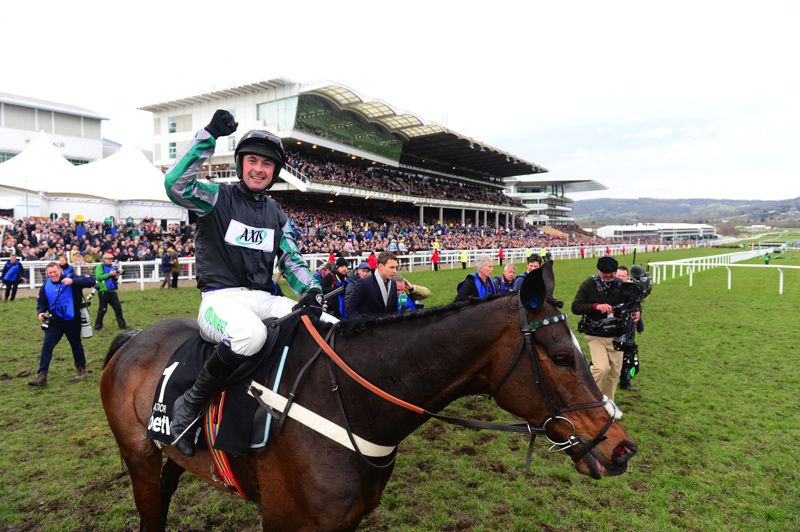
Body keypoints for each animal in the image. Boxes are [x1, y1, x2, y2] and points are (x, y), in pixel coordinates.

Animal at [101, 260, 636, 528]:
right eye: (561, 357)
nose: (621, 448)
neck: (347, 405)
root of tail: (135, 338)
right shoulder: (286, 523)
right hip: (139, 458)